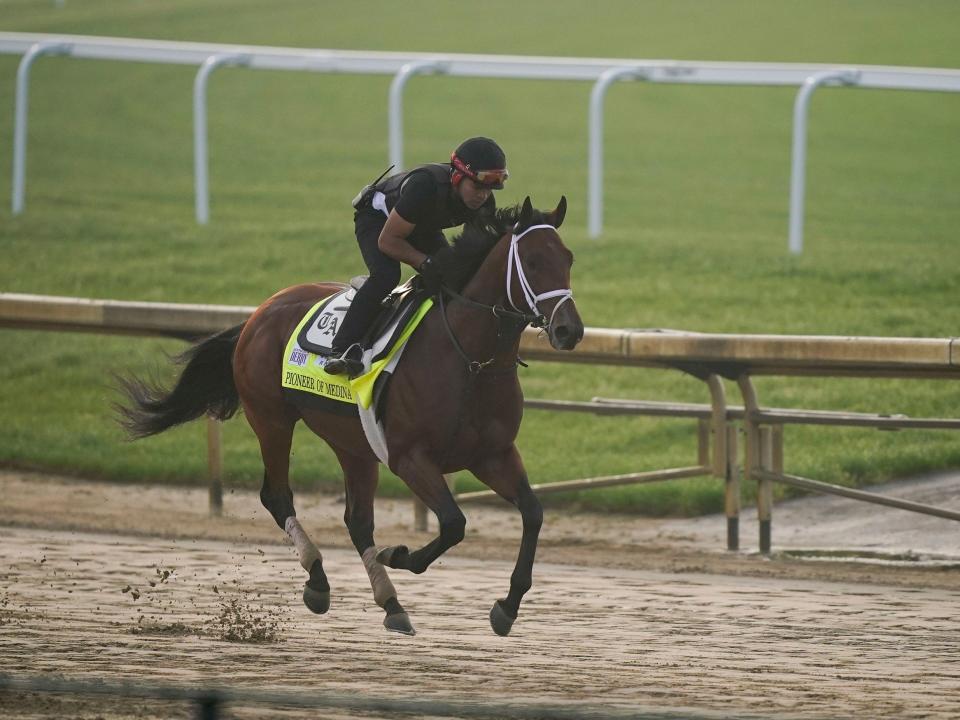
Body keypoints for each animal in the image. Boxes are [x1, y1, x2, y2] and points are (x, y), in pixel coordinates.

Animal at [120, 195, 584, 636]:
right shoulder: (409, 457)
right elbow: (454, 523)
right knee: (277, 496)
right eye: (533, 261)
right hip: (271, 419)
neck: (470, 361)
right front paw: (399, 554)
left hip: (352, 444)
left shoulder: (492, 454)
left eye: (568, 258)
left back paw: (392, 605)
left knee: (357, 521)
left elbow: (533, 513)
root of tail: (259, 312)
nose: (569, 330)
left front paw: (507, 606)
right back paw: (319, 580)